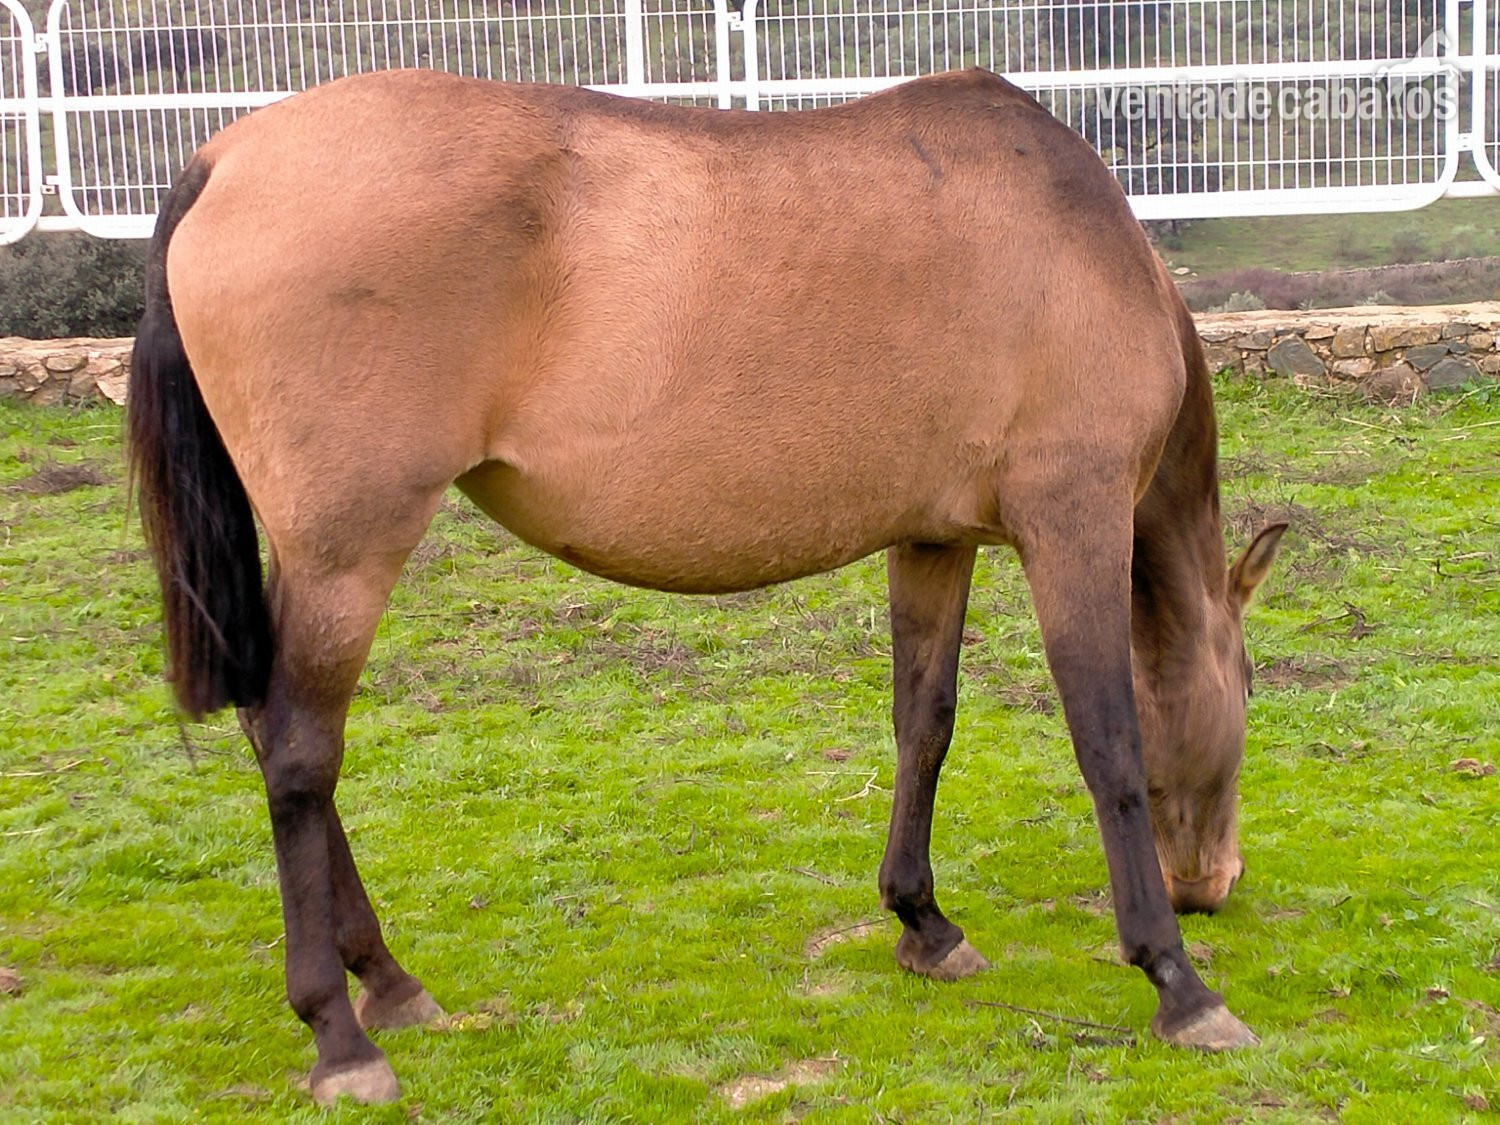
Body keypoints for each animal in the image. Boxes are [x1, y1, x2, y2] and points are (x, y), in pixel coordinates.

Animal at [128, 67, 1284, 1105]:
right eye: (1249, 687)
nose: (1212, 886)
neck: (1080, 241)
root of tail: (224, 156)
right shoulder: (1072, 517)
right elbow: (1110, 746)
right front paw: (1177, 981)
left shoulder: (930, 539)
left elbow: (926, 721)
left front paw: (924, 922)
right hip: (348, 551)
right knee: (298, 756)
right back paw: (340, 1033)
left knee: (275, 737)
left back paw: (388, 980)